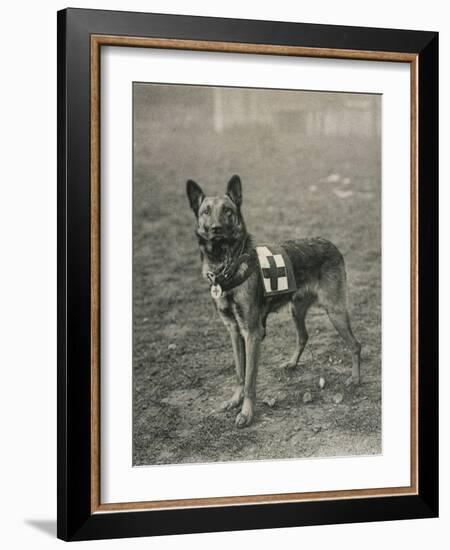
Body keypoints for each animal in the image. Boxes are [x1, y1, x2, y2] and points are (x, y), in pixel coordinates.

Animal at [186, 175, 362, 430]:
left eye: (228, 210)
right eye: (205, 211)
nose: (216, 229)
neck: (226, 266)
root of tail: (330, 244)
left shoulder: (252, 333)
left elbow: (250, 379)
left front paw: (247, 412)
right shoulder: (234, 331)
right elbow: (239, 372)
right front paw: (235, 400)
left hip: (335, 311)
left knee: (355, 345)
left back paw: (355, 378)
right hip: (297, 309)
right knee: (303, 336)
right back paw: (292, 363)